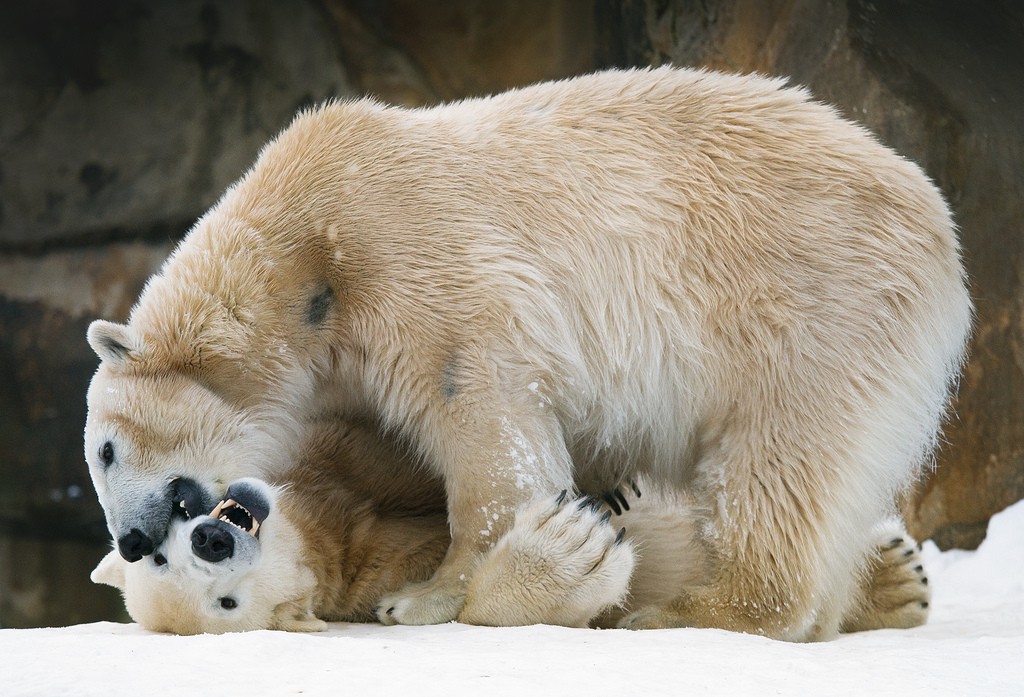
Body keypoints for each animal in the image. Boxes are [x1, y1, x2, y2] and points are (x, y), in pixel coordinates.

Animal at [86, 66, 966, 642]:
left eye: (105, 448)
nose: (130, 539)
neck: (304, 253)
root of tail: (934, 222)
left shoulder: (415, 259)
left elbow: (481, 417)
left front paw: (429, 594)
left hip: (810, 303)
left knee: (778, 460)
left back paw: (692, 610)